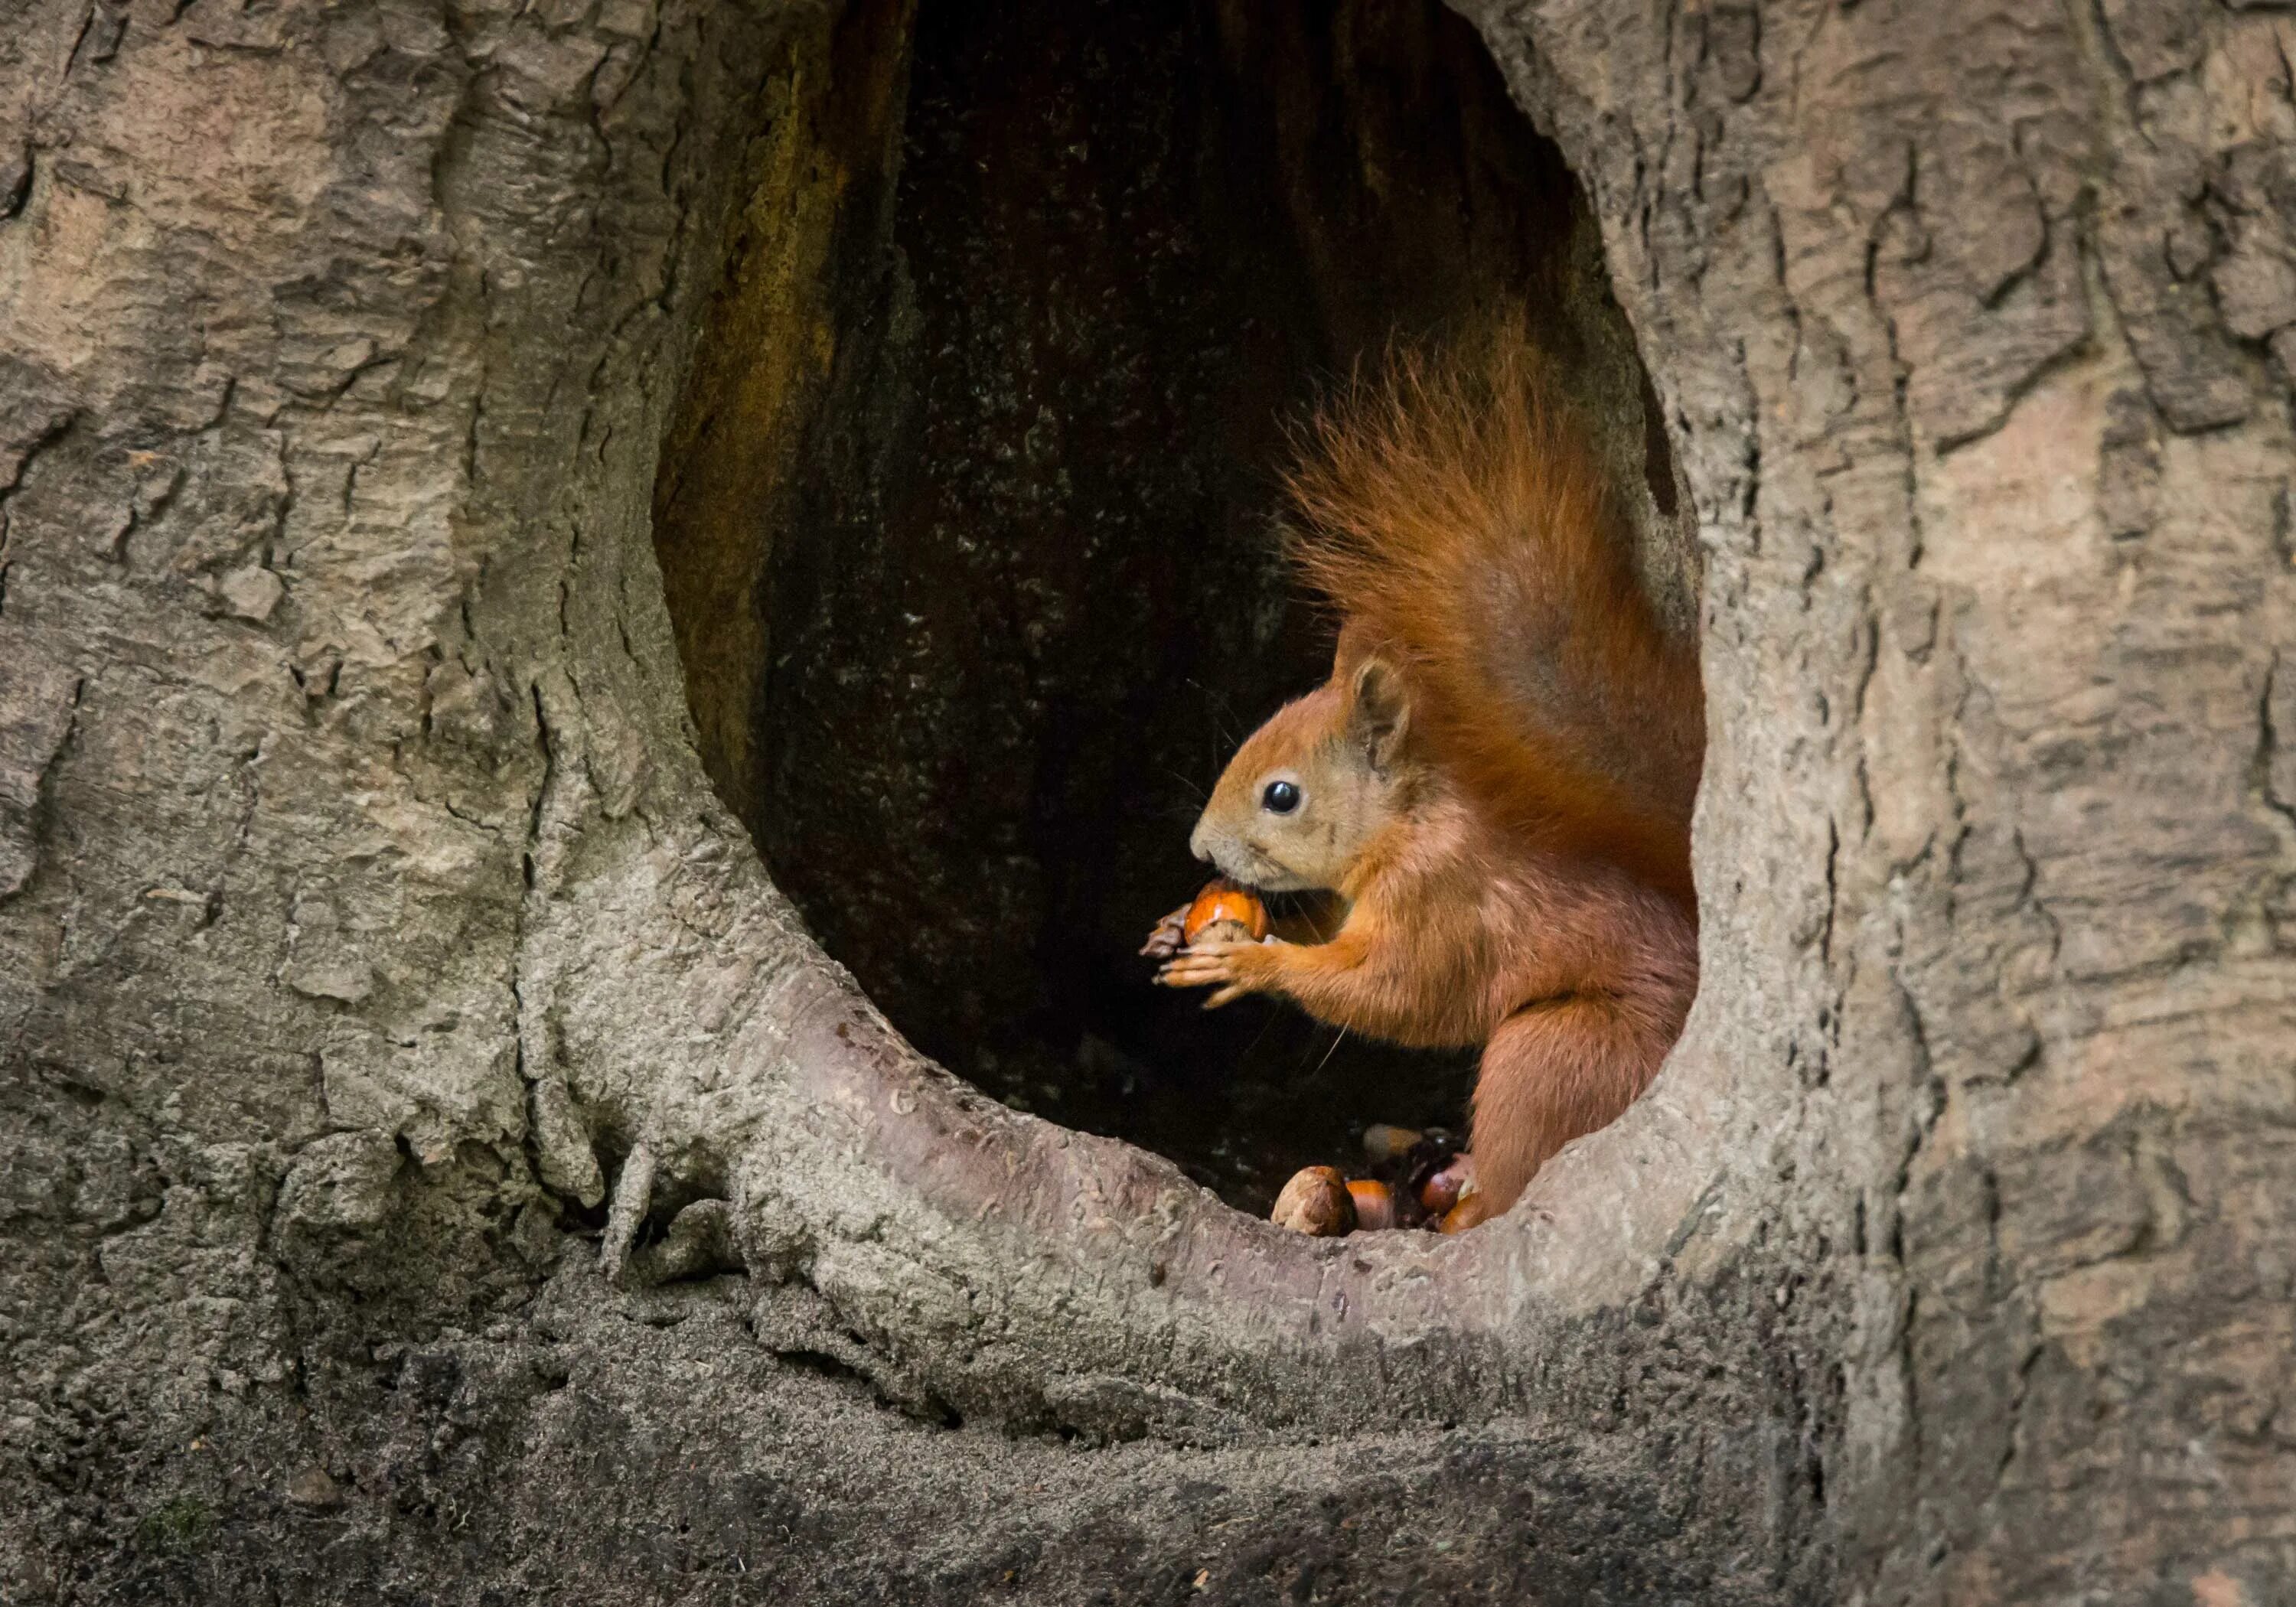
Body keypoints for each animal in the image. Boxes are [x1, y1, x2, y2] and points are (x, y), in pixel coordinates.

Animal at [1148, 326, 1708, 1231]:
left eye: (1282, 795)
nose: (1200, 850)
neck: (1406, 823)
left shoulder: (1443, 899)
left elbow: (1390, 993)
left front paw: (1249, 967)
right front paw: (1175, 924)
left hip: (1554, 1054)